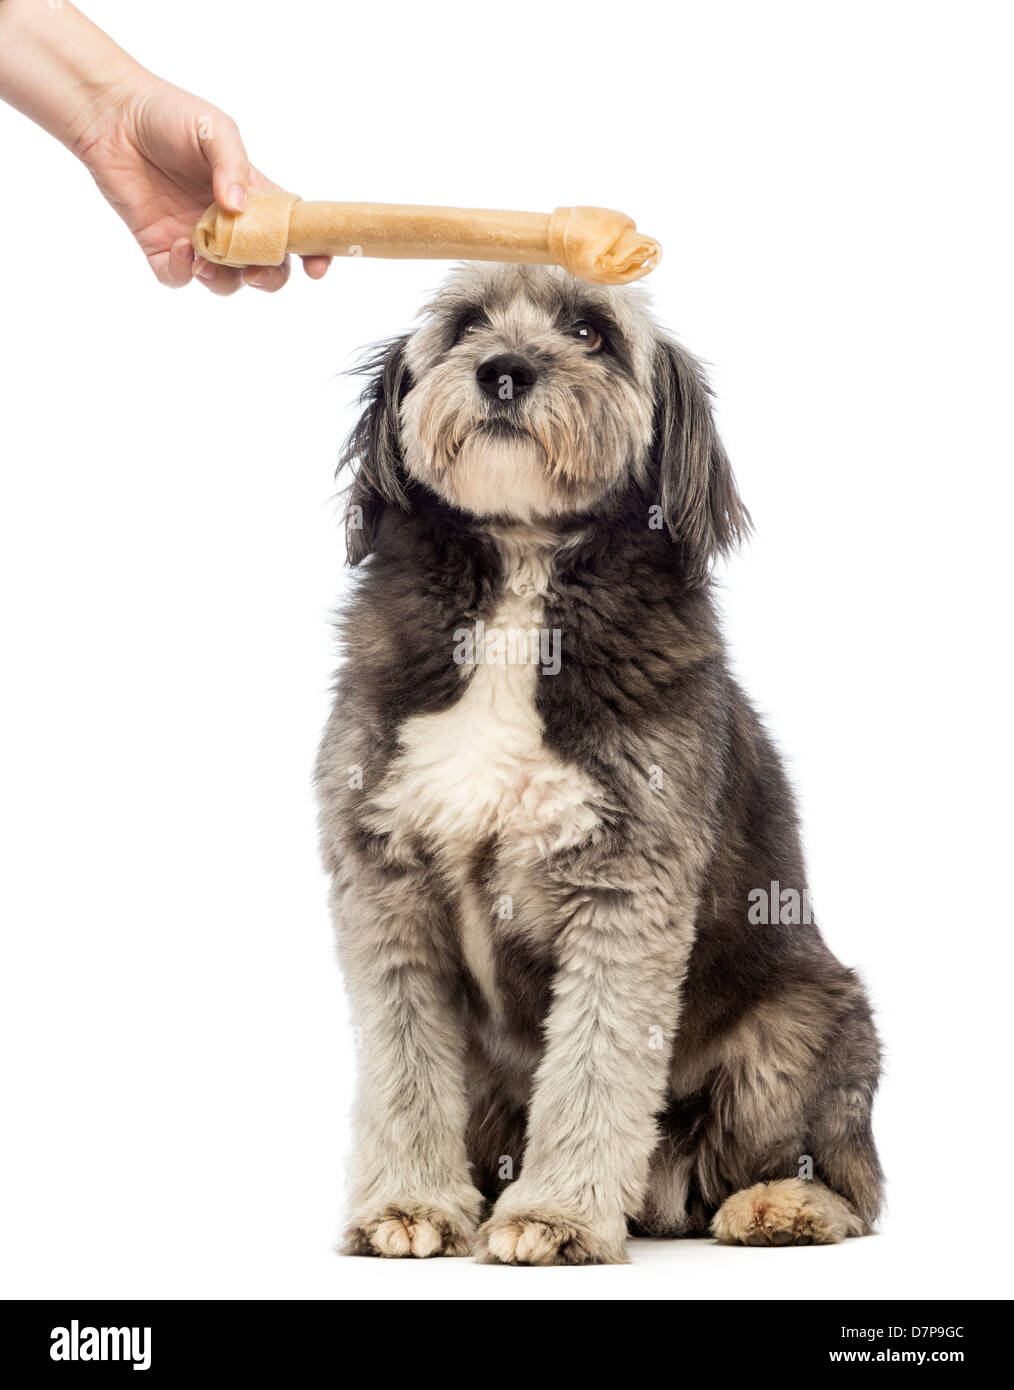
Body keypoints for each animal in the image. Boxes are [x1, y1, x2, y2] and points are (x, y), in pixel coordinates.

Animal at [314, 258, 879, 1262]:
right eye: (465, 324)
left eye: (590, 333)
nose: (503, 371)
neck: (520, 577)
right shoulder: (386, 887)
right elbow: (403, 1062)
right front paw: (408, 1204)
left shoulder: (624, 890)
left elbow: (596, 1060)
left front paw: (558, 1215)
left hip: (803, 1022)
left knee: (851, 1179)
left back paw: (784, 1205)